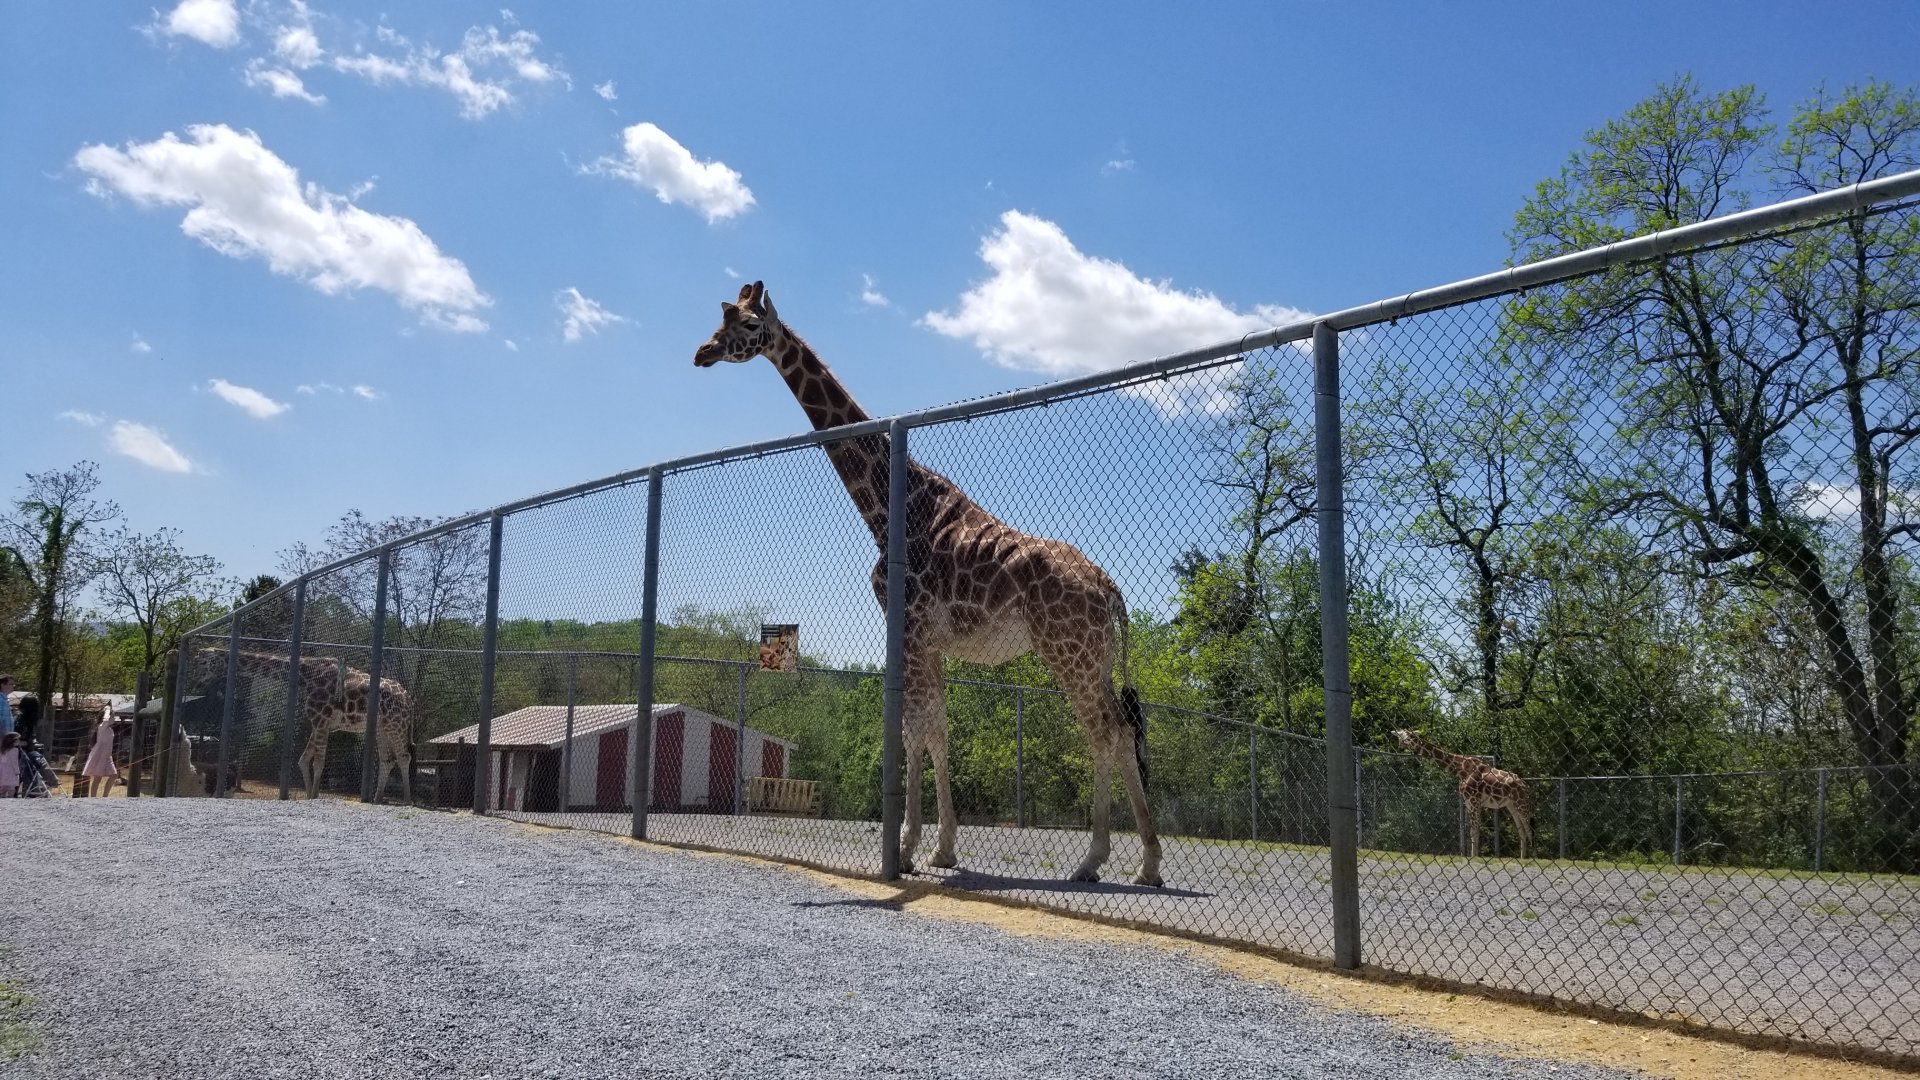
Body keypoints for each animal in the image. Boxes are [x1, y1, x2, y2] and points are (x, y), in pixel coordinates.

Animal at [195, 649, 415, 803]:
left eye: (205, 662)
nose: (198, 683)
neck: (305, 675)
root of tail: (408, 699)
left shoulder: (321, 720)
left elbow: (318, 762)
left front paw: (315, 796)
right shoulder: (318, 723)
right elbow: (303, 760)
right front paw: (310, 795)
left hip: (397, 725)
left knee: (404, 757)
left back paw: (407, 800)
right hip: (382, 728)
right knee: (387, 760)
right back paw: (377, 799)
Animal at [695, 282, 1163, 886]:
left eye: (750, 325)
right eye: (721, 317)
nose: (702, 353)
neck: (886, 509)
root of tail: (1111, 590)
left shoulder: (910, 626)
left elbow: (914, 730)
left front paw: (907, 848)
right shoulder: (932, 640)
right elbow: (937, 729)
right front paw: (942, 850)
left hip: (1068, 650)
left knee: (1105, 731)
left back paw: (1104, 860)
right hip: (1095, 656)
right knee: (1120, 731)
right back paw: (1137, 864)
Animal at [1392, 729, 1531, 858]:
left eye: (1406, 737)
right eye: (1399, 737)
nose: (1400, 747)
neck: (1460, 769)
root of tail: (1524, 784)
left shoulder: (1474, 800)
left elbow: (1475, 832)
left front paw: (1474, 858)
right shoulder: (1468, 802)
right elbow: (1472, 832)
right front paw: (1472, 856)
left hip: (1521, 803)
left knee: (1529, 829)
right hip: (1511, 805)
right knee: (1522, 831)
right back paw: (1522, 858)